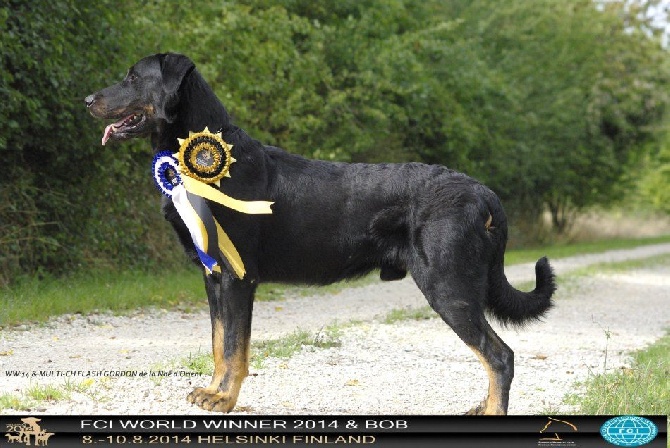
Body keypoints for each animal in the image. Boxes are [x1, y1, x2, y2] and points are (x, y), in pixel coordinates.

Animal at [85, 54, 556, 414]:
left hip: (448, 286)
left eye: (132, 77)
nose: (87, 99)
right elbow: (220, 342)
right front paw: (214, 391)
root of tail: (482, 193)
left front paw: (225, 399)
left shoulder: (238, 278)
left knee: (500, 356)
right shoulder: (214, 275)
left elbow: (235, 346)